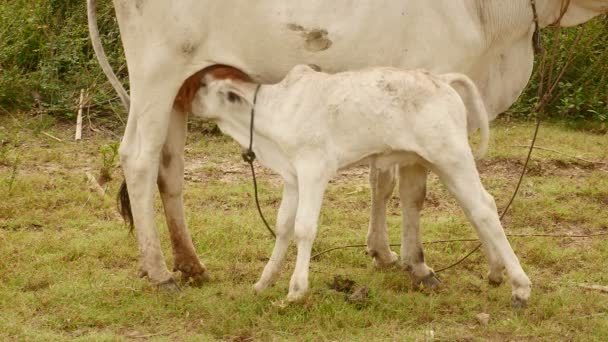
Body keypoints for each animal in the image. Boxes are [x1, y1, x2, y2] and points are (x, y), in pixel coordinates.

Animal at [189, 64, 532, 304]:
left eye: (204, 85)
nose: (187, 98)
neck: (275, 112)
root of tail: (442, 80)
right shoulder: (293, 177)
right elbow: (284, 225)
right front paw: (264, 281)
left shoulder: (314, 169)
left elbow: (304, 228)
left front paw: (297, 289)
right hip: (440, 162)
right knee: (474, 208)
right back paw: (495, 271)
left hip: (453, 156)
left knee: (485, 207)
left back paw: (521, 286)